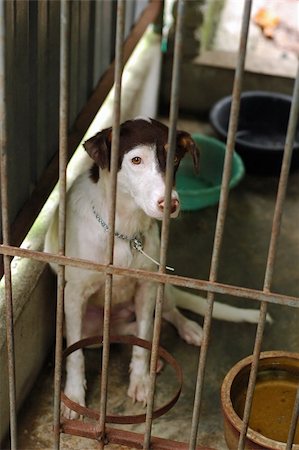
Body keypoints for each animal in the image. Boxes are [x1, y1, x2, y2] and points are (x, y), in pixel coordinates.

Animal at [45, 118, 272, 418]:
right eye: (136, 160)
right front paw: (73, 395)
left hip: (158, 289)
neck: (124, 231)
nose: (171, 204)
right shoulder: (74, 296)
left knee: (164, 315)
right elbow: (75, 356)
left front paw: (141, 380)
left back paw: (185, 331)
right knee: (117, 333)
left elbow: (142, 339)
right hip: (88, 327)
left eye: (175, 159)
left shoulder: (145, 288)